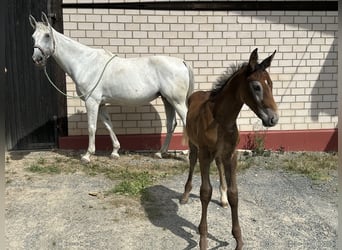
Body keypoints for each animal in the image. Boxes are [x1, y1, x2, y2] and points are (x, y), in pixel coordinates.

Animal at [29, 12, 194, 163]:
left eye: (47, 35)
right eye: (33, 37)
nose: (37, 59)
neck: (85, 63)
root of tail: (182, 62)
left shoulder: (92, 102)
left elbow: (92, 127)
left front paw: (87, 155)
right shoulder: (101, 103)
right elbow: (109, 125)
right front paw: (115, 151)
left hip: (177, 101)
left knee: (186, 121)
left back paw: (187, 155)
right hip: (167, 100)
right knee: (171, 124)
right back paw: (160, 153)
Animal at [180, 48, 280, 250]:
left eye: (271, 84)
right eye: (256, 87)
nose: (273, 119)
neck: (221, 120)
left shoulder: (231, 155)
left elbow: (235, 194)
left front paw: (238, 239)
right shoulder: (205, 154)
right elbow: (205, 192)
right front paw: (203, 239)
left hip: (220, 155)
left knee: (218, 165)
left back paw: (223, 198)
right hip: (194, 145)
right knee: (192, 161)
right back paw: (186, 194)